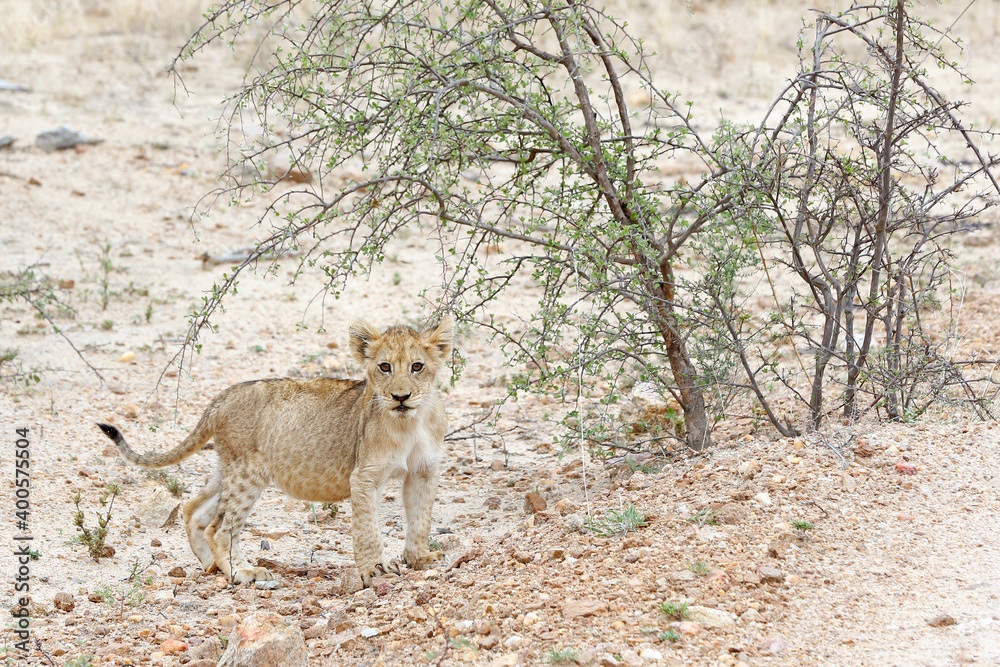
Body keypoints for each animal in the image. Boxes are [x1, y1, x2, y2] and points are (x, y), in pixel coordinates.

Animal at [96, 317, 454, 587]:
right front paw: (374, 570)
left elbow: (421, 518)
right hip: (247, 474)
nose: (400, 397)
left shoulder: (424, 471)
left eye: (417, 366)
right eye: (384, 367)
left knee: (194, 509)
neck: (411, 423)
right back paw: (243, 572)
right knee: (220, 528)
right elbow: (367, 529)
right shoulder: (365, 476)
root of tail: (222, 397)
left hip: (228, 469)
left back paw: (211, 565)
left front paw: (421, 559)